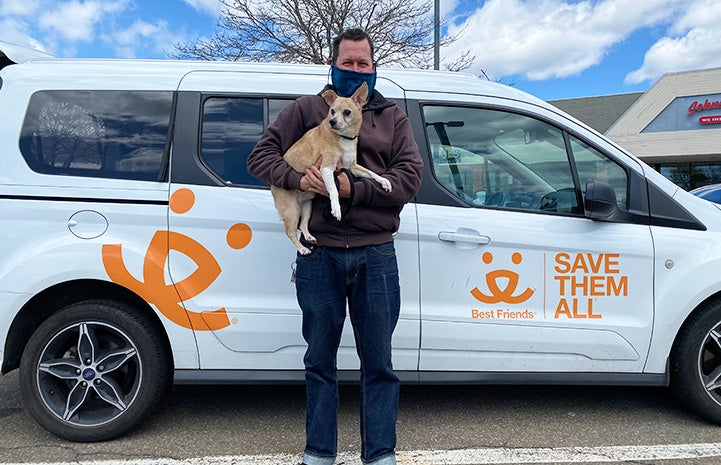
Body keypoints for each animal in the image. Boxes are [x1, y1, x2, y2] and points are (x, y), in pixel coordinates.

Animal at [272, 80, 394, 254]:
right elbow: (334, 191)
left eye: (347, 112)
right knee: (290, 232)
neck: (345, 138)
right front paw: (336, 208)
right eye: (332, 111)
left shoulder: (352, 167)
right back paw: (302, 248)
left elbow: (371, 173)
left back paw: (309, 237)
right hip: (291, 210)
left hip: (307, 206)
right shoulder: (327, 169)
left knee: (303, 224)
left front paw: (384, 182)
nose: (332, 121)